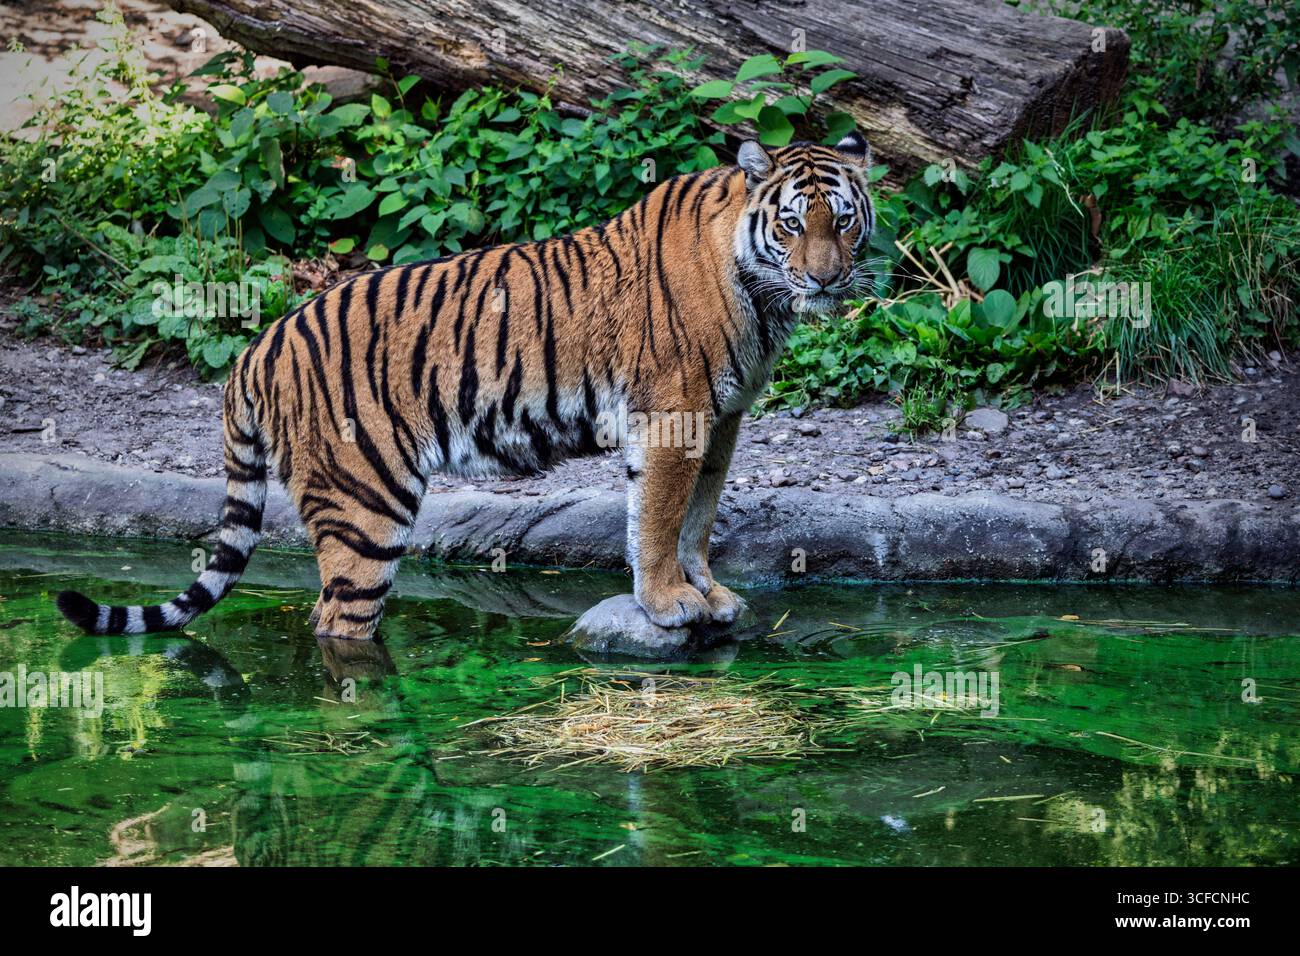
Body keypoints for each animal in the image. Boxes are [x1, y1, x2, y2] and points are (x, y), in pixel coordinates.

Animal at [56, 132, 875, 640]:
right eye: (793, 224)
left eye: (843, 221)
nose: (827, 279)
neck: (762, 296)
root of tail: (257, 348)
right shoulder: (675, 414)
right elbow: (659, 516)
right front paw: (670, 601)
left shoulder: (722, 419)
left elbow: (698, 517)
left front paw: (708, 594)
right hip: (364, 505)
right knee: (337, 623)